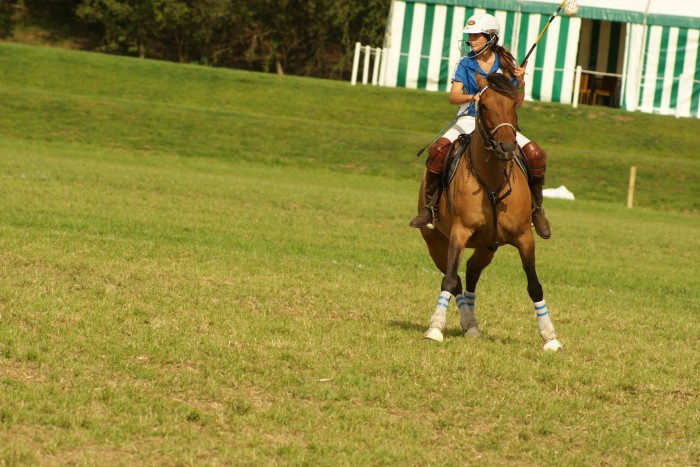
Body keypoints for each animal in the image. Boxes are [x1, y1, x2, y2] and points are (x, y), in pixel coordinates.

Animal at [418, 73, 560, 352]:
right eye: (483, 106)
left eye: (514, 104)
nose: (506, 147)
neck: (493, 182)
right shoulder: (459, 232)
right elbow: (449, 280)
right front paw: (435, 328)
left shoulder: (524, 237)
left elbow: (535, 285)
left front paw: (550, 337)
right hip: (435, 242)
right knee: (455, 278)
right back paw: (466, 321)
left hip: (487, 245)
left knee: (472, 272)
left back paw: (471, 323)